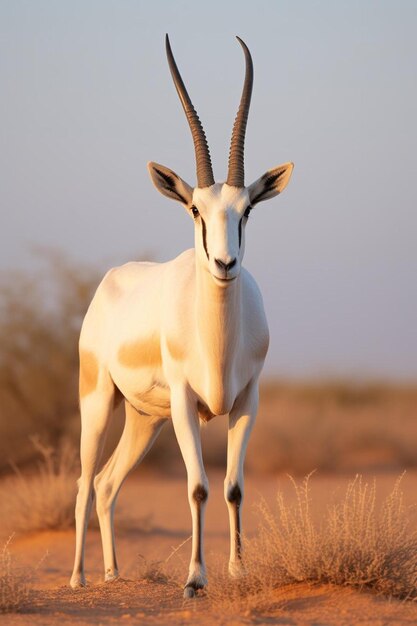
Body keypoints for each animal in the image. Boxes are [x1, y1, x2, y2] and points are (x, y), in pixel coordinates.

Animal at [70, 33, 292, 596]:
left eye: (247, 210)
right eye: (195, 210)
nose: (225, 263)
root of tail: (113, 279)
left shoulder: (246, 401)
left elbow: (233, 487)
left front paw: (237, 571)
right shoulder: (186, 404)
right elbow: (197, 487)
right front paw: (194, 579)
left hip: (145, 421)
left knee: (106, 483)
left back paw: (113, 573)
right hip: (98, 402)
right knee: (84, 481)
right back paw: (78, 579)